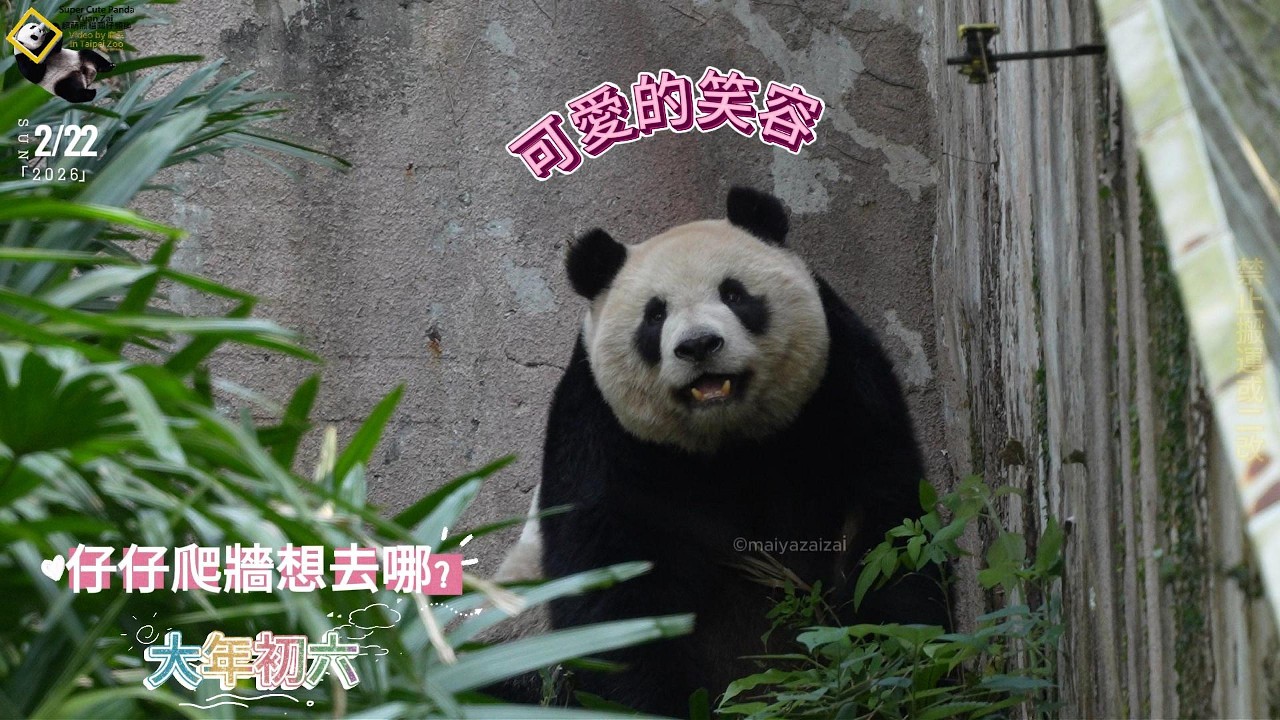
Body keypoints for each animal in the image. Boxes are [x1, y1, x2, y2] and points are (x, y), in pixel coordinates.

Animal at [499, 187, 948, 717]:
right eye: (655, 314)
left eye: (734, 294)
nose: (698, 345)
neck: (726, 441)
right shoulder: (602, 437)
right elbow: (610, 584)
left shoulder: (841, 390)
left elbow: (885, 526)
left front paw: (894, 669)